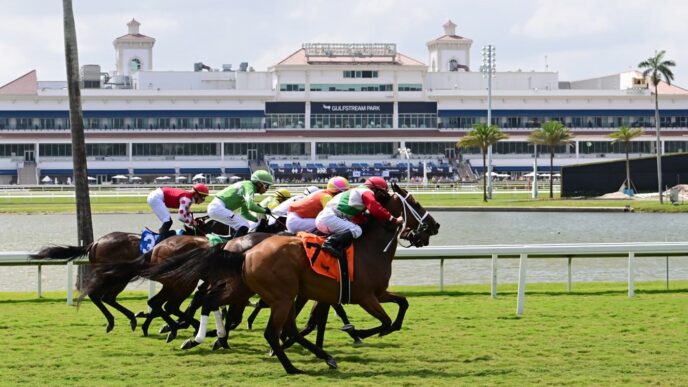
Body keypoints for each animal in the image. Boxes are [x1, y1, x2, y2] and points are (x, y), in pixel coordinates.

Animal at [153, 183, 438, 374]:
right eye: (415, 202)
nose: (433, 227)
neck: (370, 247)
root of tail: (244, 251)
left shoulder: (367, 293)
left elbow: (401, 307)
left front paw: (355, 333)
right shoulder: (364, 296)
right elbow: (382, 320)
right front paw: (359, 332)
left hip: (247, 289)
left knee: (210, 302)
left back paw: (197, 336)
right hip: (279, 295)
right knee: (261, 326)